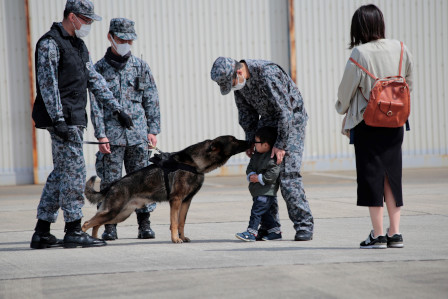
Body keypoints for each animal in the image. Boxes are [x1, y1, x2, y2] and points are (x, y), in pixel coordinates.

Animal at [80, 136, 248, 244]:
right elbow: (174, 222)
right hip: (113, 211)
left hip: (120, 215)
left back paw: (95, 239)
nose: (249, 141)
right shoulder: (176, 200)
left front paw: (182, 237)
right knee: (87, 223)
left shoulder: (186, 202)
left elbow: (181, 222)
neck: (194, 163)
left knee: (96, 224)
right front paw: (175, 239)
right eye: (233, 140)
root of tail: (113, 185)